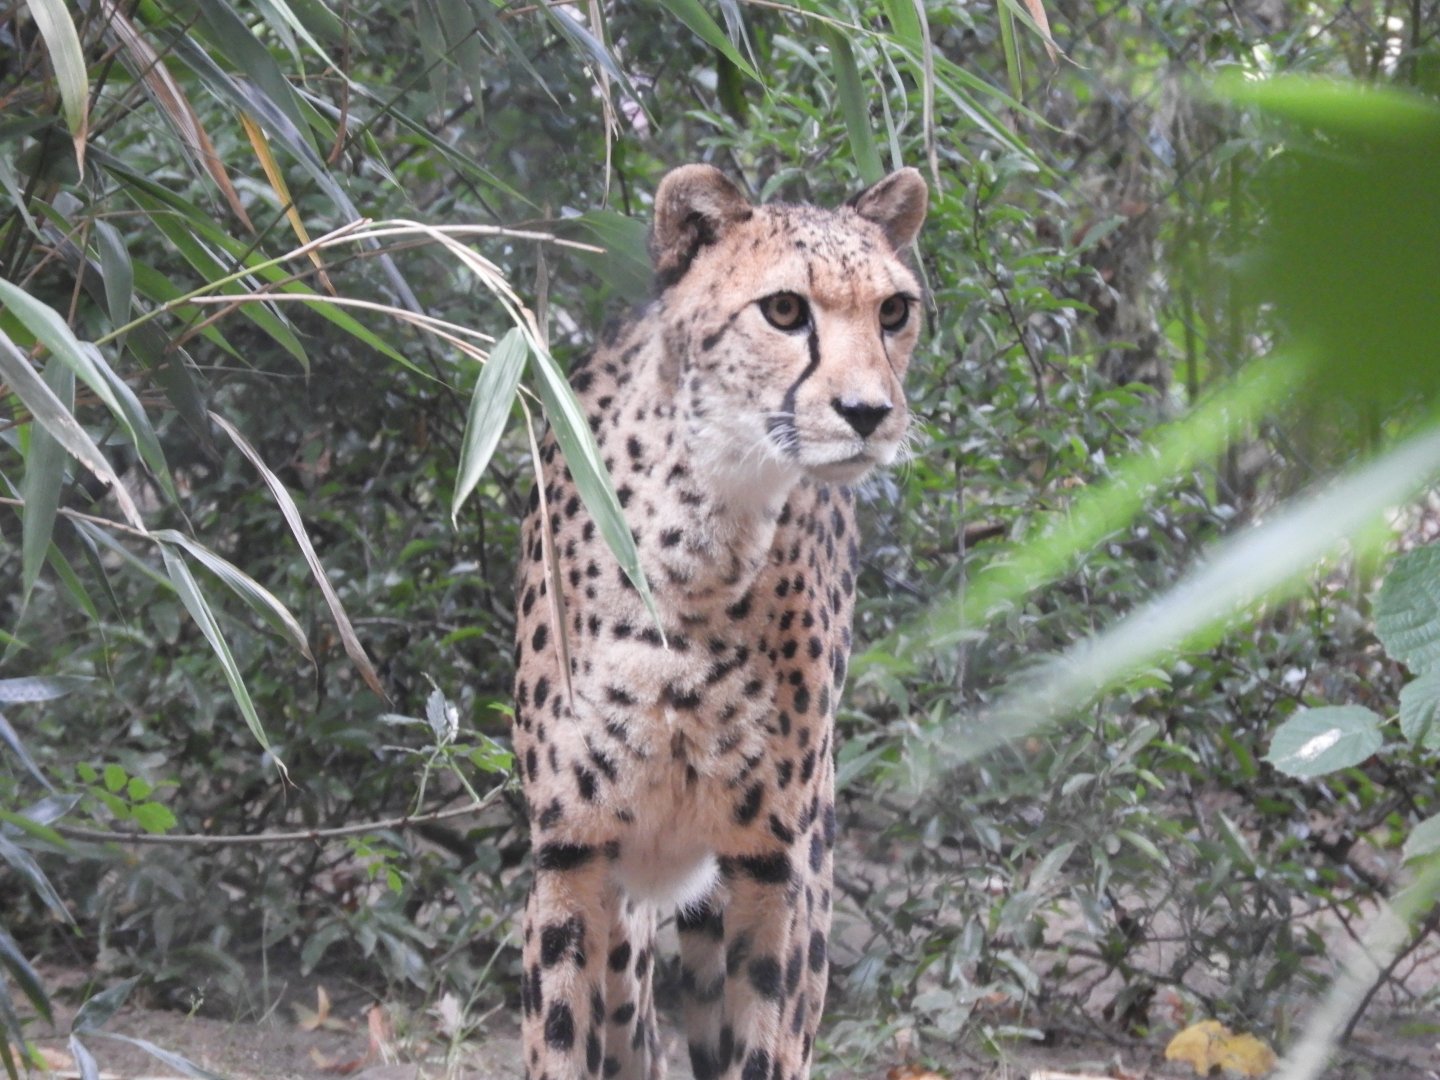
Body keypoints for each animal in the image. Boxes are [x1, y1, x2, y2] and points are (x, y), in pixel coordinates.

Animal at [510, 163, 928, 1080]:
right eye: (785, 310)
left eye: (894, 311)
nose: (869, 412)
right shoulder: (570, 853)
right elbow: (559, 1039)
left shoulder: (776, 865)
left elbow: (768, 1038)